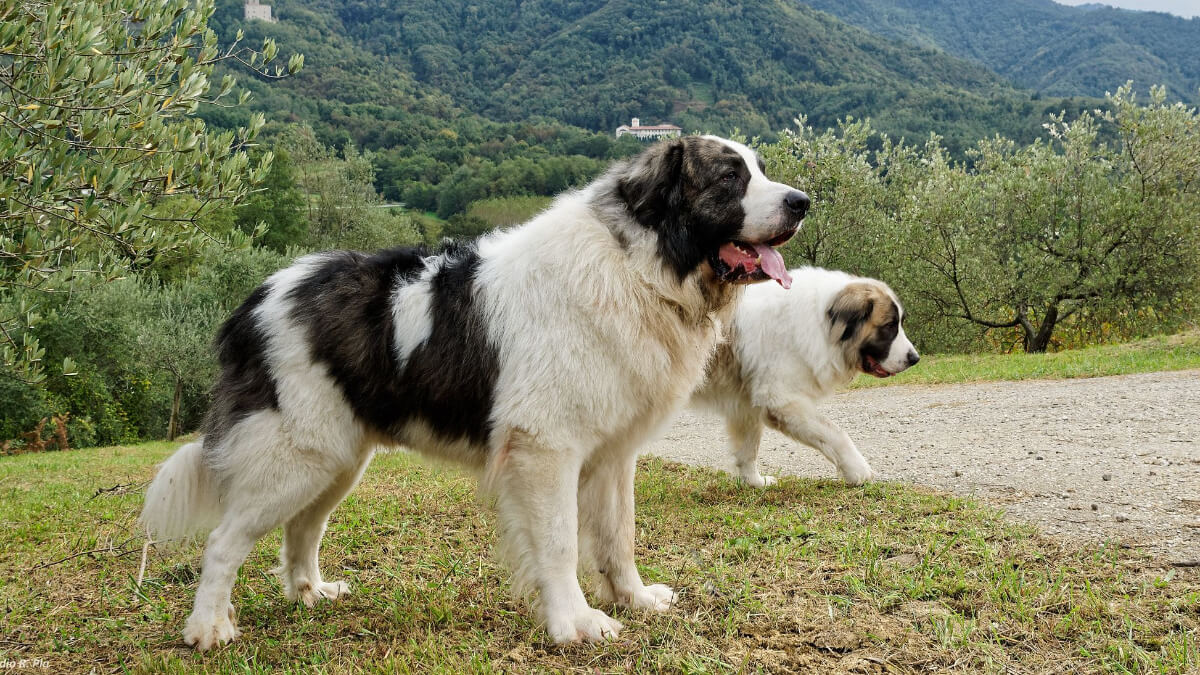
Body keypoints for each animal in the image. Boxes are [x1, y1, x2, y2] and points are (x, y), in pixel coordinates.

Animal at [145, 135, 811, 648]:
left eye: (759, 169)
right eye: (728, 177)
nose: (802, 202)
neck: (637, 267)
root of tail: (257, 300)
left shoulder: (613, 454)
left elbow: (616, 535)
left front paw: (635, 598)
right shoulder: (546, 450)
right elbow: (560, 543)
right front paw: (575, 623)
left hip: (336, 460)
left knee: (302, 529)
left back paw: (312, 593)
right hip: (294, 456)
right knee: (223, 541)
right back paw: (207, 629)